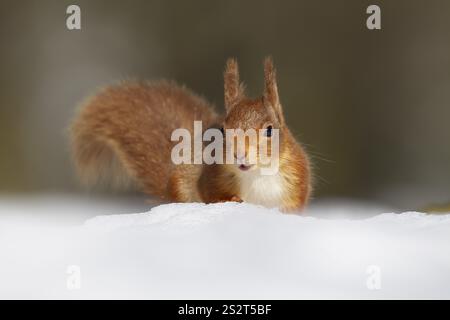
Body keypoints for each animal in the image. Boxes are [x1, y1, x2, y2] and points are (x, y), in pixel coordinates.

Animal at [71, 57, 310, 212]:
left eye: (270, 130)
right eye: (222, 130)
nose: (239, 154)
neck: (257, 174)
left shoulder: (296, 179)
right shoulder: (211, 176)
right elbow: (211, 195)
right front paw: (231, 199)